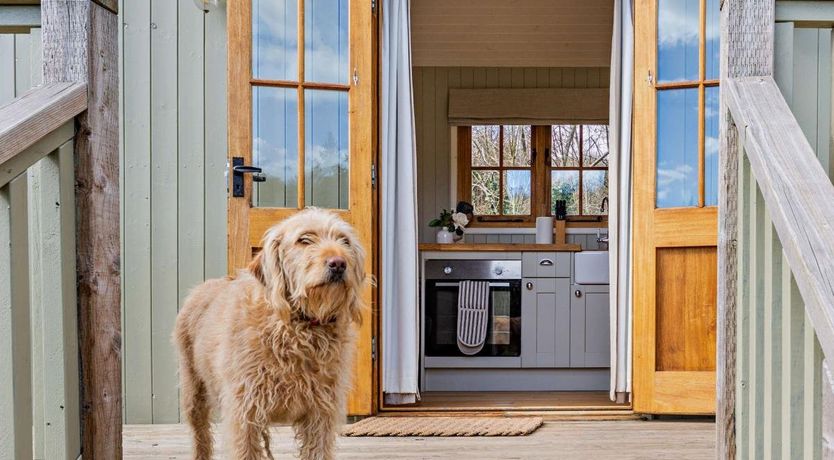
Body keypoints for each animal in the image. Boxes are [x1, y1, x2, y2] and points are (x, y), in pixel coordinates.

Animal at [174, 209, 366, 460]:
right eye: (304, 240)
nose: (339, 263)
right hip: (193, 392)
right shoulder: (244, 410)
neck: (298, 327)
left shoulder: (321, 412)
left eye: (345, 241)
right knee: (201, 436)